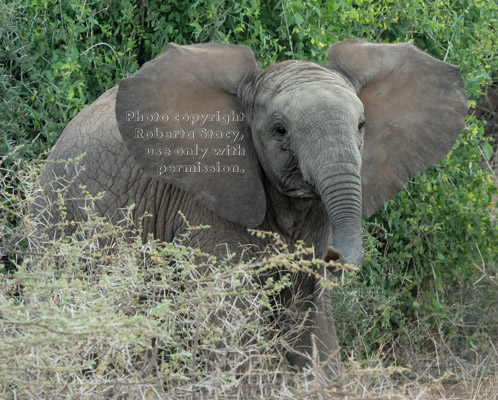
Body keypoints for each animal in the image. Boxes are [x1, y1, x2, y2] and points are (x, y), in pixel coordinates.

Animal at [35, 39, 466, 368]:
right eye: (280, 131)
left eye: (362, 126)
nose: (333, 257)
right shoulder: (202, 201)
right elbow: (228, 313)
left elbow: (307, 311)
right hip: (59, 216)